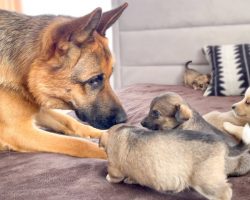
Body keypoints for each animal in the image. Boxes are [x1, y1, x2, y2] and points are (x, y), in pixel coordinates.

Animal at [0, 3, 128, 159]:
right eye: (94, 80)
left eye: (110, 76)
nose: (124, 120)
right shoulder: (19, 131)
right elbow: (80, 144)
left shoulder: (39, 110)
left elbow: (70, 121)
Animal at [99, 125, 234, 200]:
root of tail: (222, 144)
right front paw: (131, 180)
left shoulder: (114, 169)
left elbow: (113, 177)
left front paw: (108, 178)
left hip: (204, 182)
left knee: (225, 193)